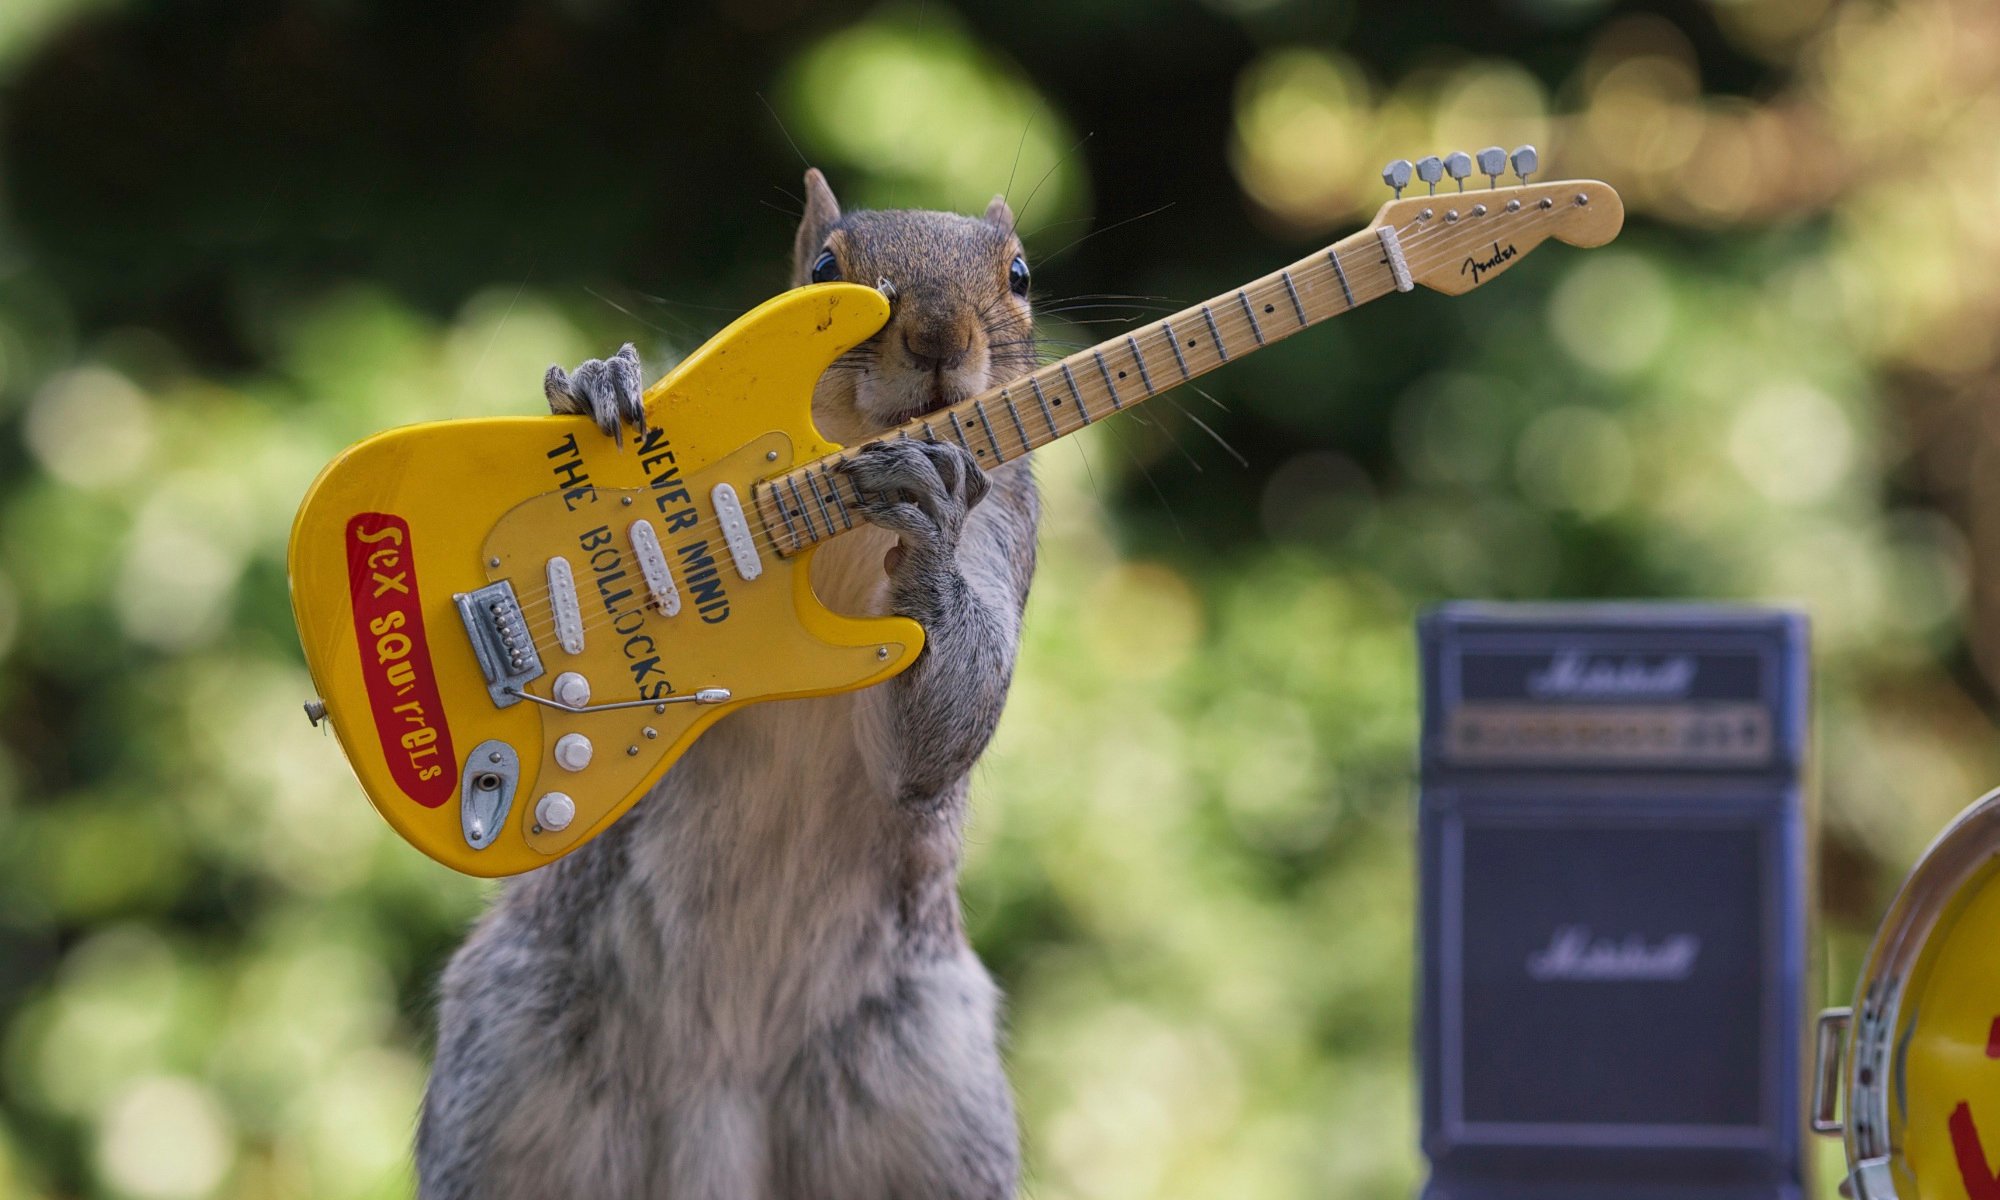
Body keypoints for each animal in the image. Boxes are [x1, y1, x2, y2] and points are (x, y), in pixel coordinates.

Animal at [415, 169, 1041, 1200]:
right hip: (511, 1057)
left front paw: (930, 525)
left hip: (928, 1093)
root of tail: (721, 1089)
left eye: (1020, 275)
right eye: (824, 267)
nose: (939, 338)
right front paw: (601, 383)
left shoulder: (1008, 531)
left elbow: (942, 731)